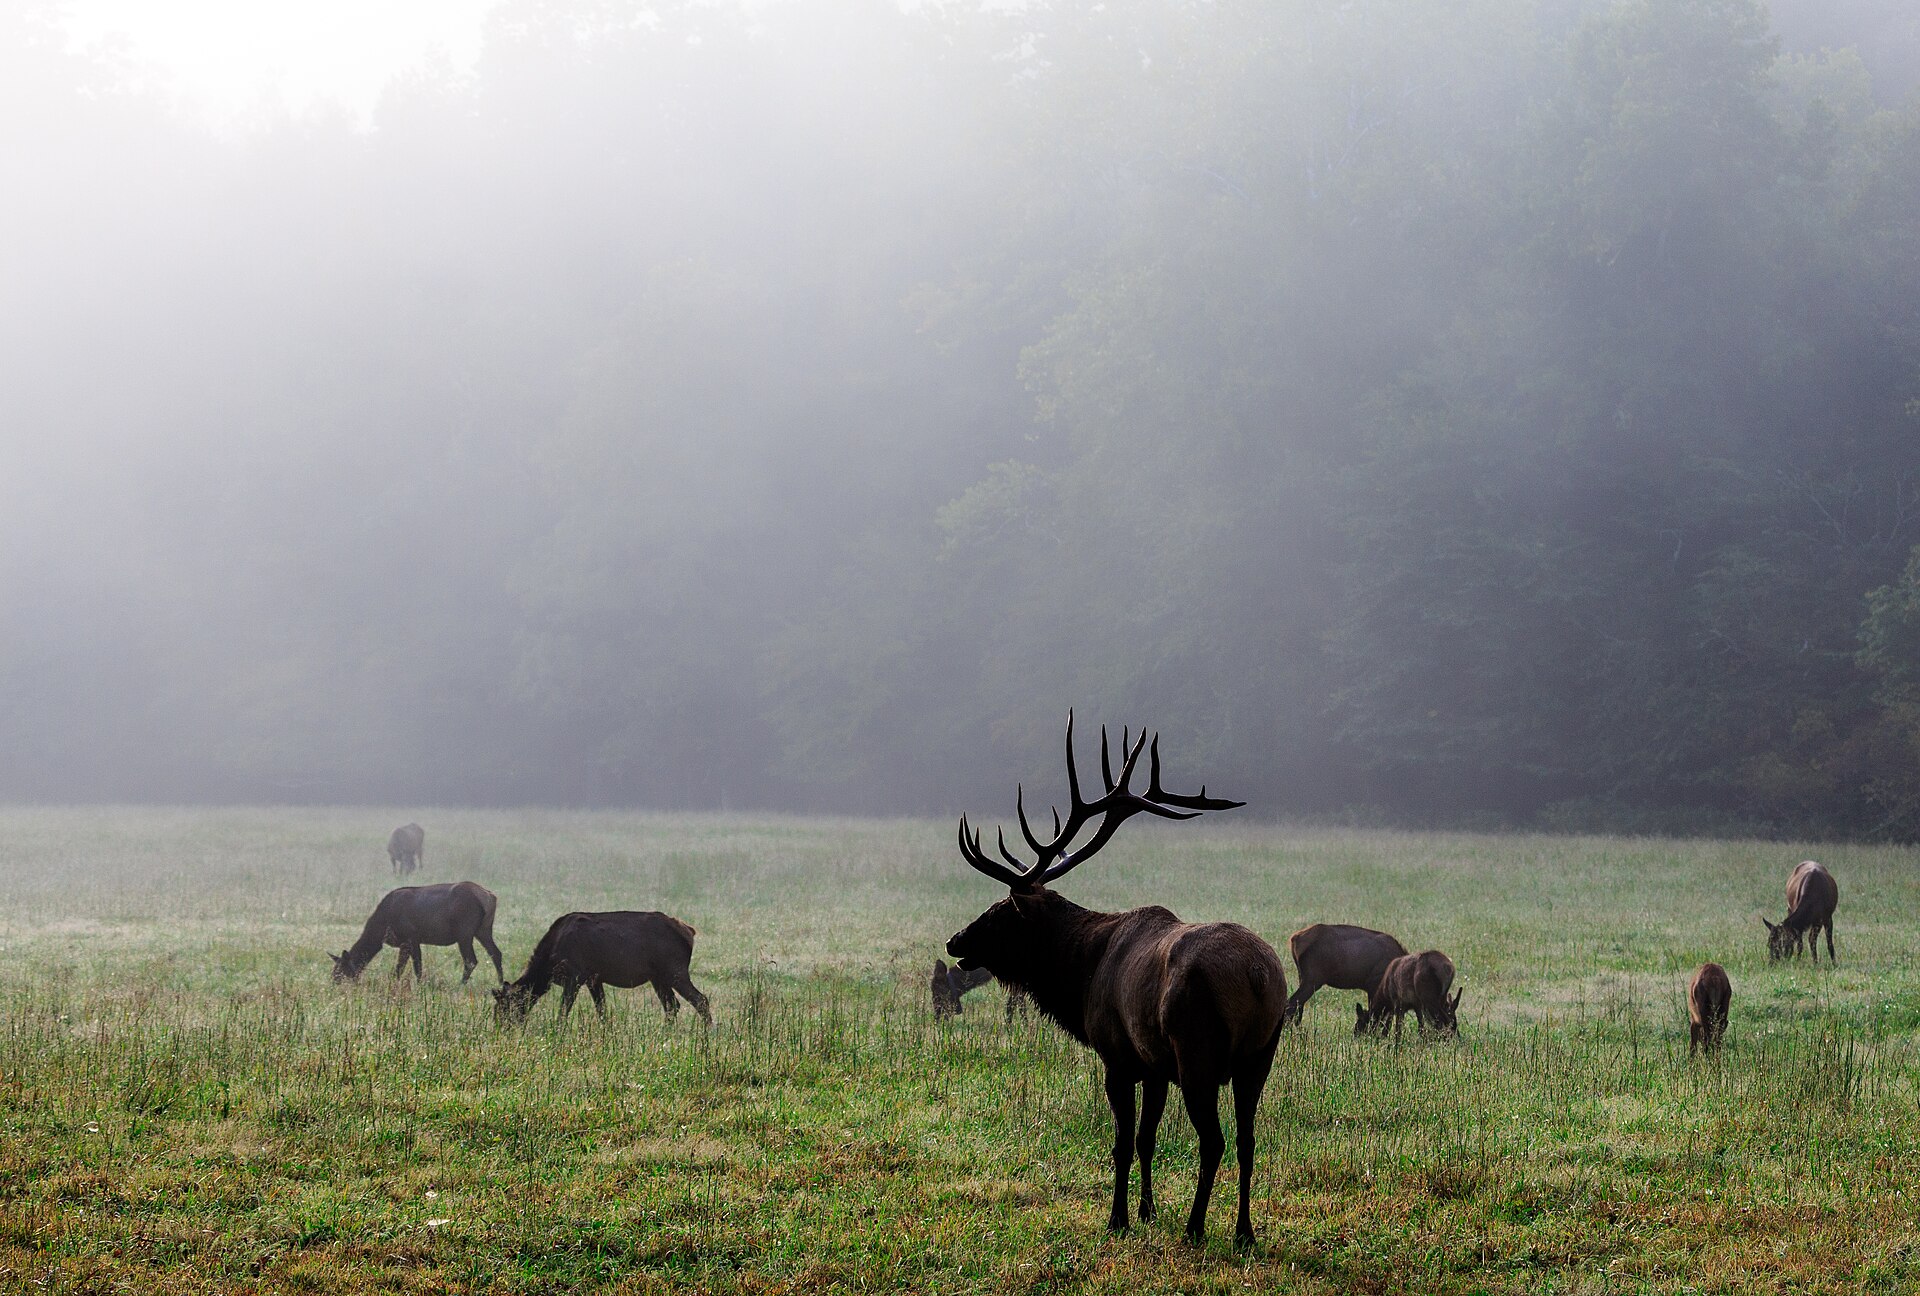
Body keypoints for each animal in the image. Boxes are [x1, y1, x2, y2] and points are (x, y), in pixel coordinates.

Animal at [330, 881, 503, 984]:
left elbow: (412, 967)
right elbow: (408, 967)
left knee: (471, 960)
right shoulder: (409, 941)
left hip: (464, 932)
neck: (382, 928)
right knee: (496, 953)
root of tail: (490, 897)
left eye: (341, 972)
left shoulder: (410, 938)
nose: (334, 985)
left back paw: (461, 984)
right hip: (484, 930)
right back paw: (501, 982)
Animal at [945, 712, 1285, 1248]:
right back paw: (1244, 1232)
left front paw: (1118, 1218)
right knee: (1249, 1139)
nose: (955, 941)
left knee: (1214, 1140)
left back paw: (1195, 1228)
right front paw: (1147, 1211)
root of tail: (1258, 976)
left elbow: (1122, 1143)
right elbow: (1147, 1139)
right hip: (1260, 1055)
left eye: (999, 912)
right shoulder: (1156, 1064)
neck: (1081, 975)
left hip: (1199, 1050)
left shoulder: (1118, 1055)